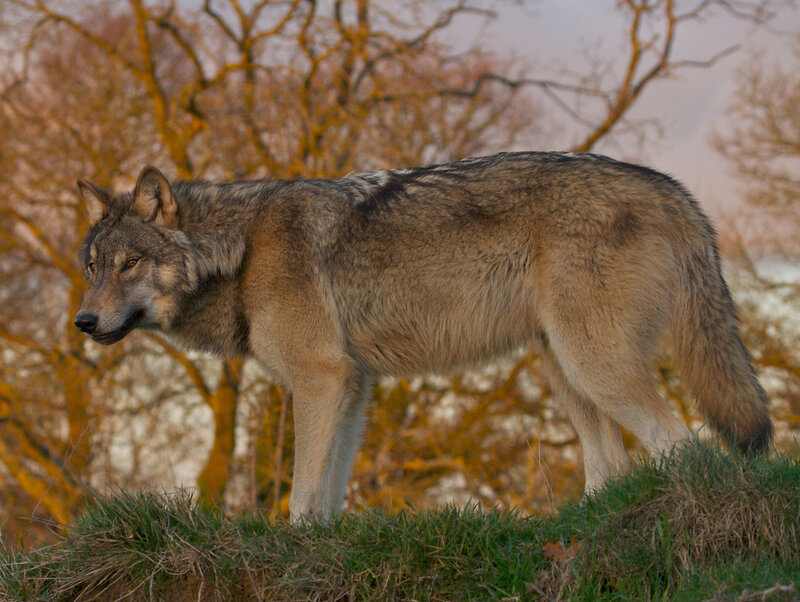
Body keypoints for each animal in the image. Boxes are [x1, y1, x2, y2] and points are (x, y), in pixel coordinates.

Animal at [74, 152, 772, 519]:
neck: (240, 253)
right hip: (565, 369)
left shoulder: (322, 379)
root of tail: (674, 188)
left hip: (595, 365)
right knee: (612, 464)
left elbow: (301, 495)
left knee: (685, 447)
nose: (83, 322)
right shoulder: (353, 386)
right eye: (92, 267)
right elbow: (329, 493)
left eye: (130, 264)